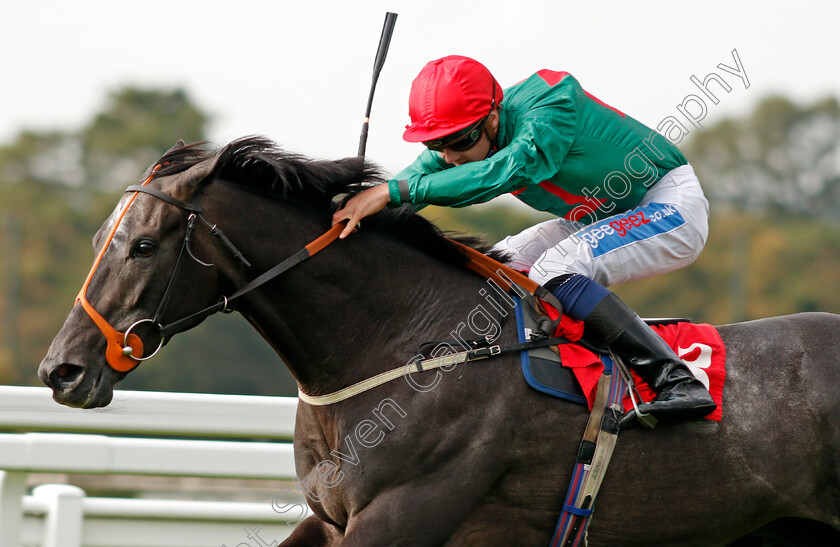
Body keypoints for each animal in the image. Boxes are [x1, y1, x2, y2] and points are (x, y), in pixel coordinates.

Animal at [37, 139, 840, 544]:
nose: (60, 370)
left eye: (142, 245)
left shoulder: (404, 516)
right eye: (101, 239)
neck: (405, 346)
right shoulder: (332, 522)